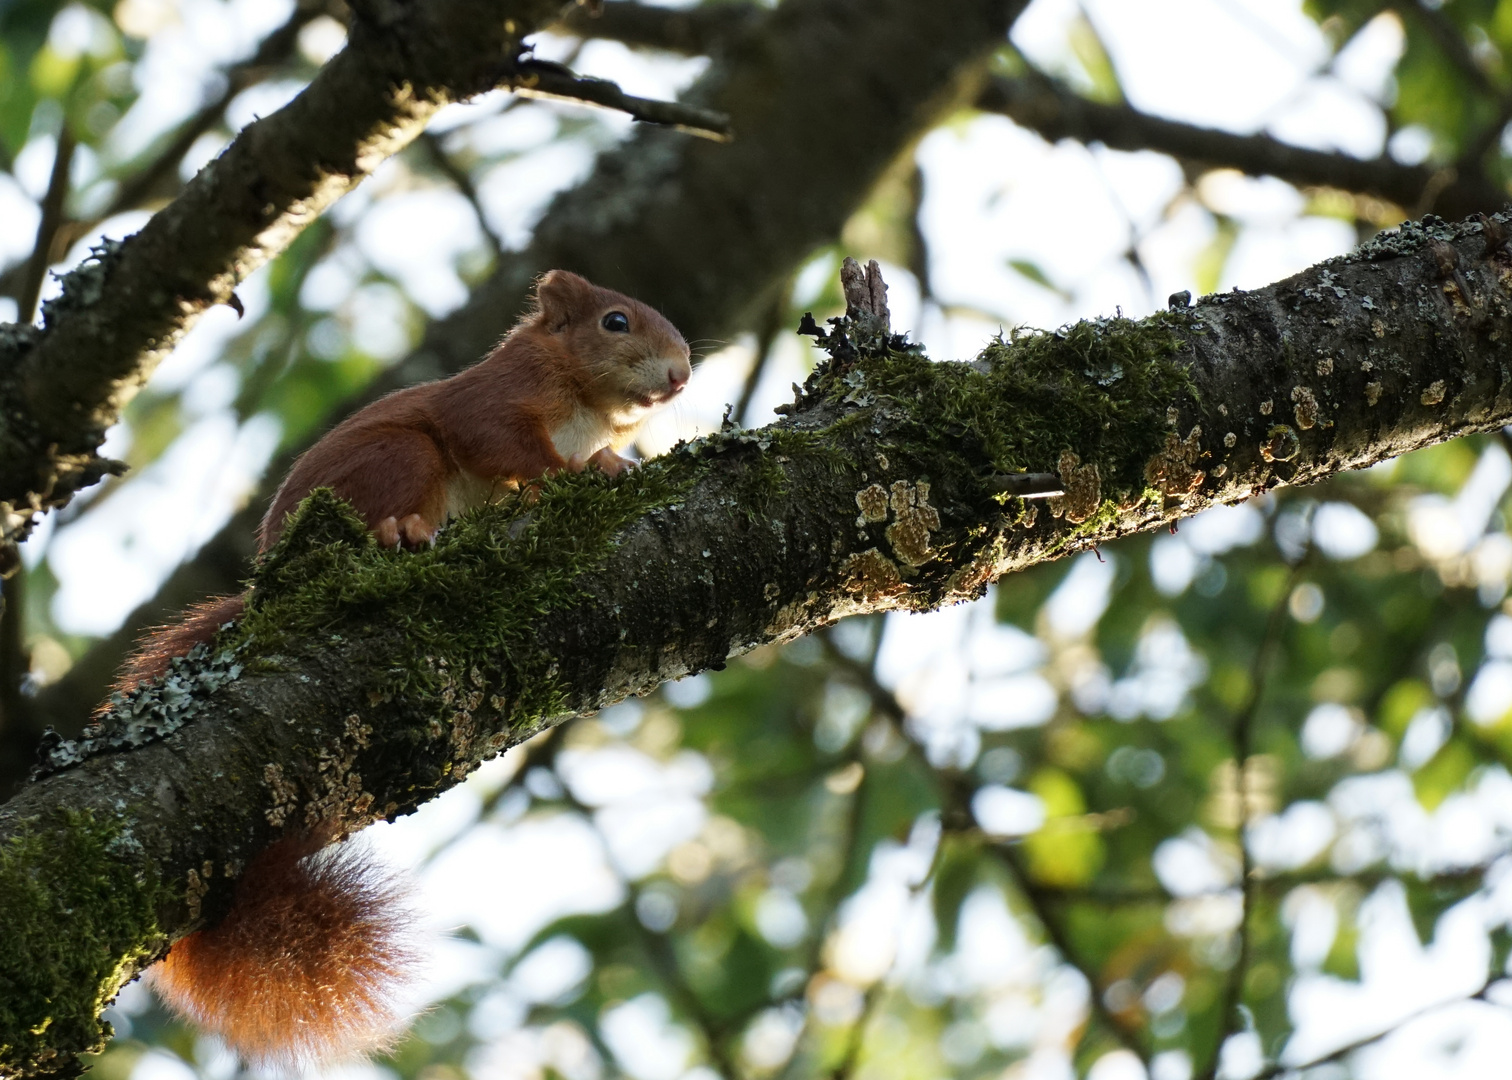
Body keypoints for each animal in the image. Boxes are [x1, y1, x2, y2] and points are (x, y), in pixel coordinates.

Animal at [133, 269, 692, 1058]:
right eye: (616, 321)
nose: (680, 375)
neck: (586, 401)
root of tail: (269, 586)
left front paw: (609, 462)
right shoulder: (495, 401)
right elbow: (500, 441)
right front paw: (582, 471)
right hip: (401, 457)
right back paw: (403, 531)